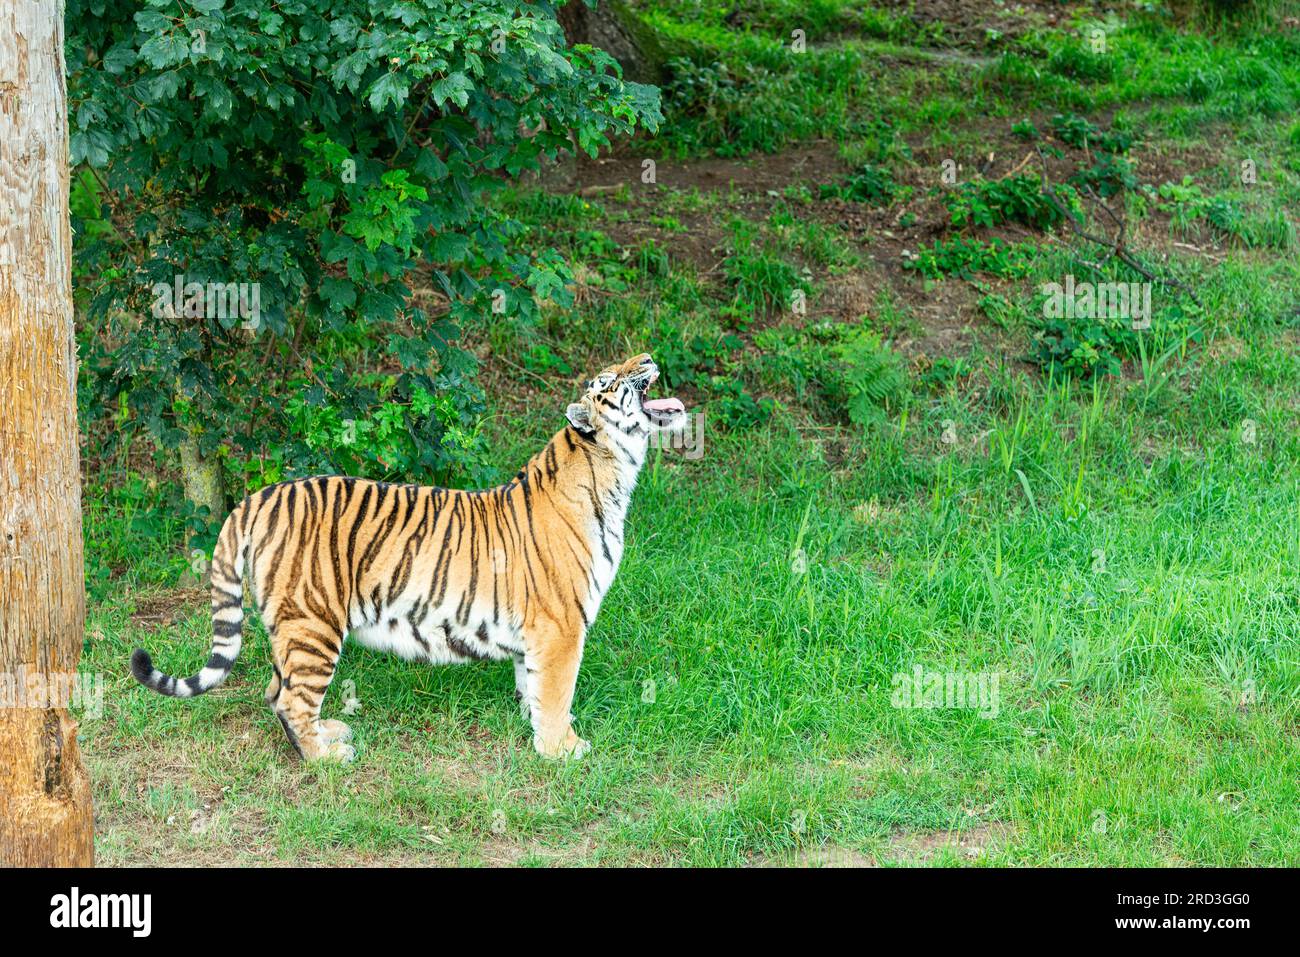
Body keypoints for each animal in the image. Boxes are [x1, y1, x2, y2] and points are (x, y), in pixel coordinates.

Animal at [131, 353, 691, 764]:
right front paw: (563, 751)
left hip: (289, 625)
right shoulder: (561, 625)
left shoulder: (538, 631)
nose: (647, 356)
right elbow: (557, 693)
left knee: (276, 691)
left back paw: (328, 735)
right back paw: (327, 758)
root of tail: (258, 497)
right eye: (609, 380)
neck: (613, 473)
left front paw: (537, 728)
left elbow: (533, 686)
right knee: (290, 697)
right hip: (313, 621)